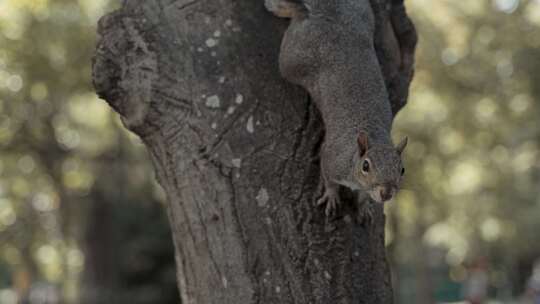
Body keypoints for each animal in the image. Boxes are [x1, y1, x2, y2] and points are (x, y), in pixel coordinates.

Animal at [266, 0, 414, 218]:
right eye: (366, 166)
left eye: (402, 169)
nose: (386, 193)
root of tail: (327, 17)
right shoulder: (332, 158)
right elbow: (328, 178)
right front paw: (331, 196)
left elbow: (363, 196)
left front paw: (364, 205)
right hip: (293, 57)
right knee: (295, 22)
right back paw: (286, 10)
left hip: (361, 12)